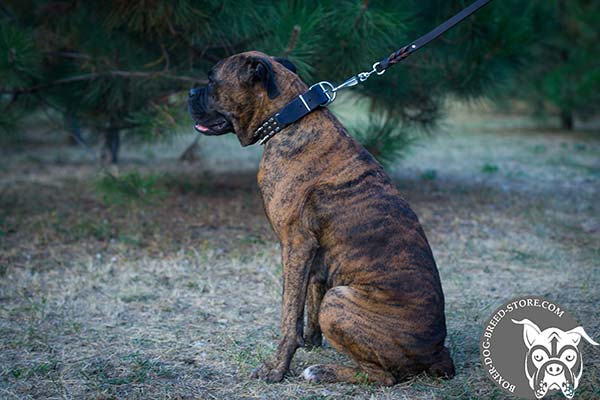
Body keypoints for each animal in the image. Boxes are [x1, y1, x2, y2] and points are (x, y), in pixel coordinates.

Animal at [188, 50, 454, 384]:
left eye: (211, 79)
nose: (190, 92)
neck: (289, 118)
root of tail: (438, 352)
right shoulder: (314, 255)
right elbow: (310, 296)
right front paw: (312, 342)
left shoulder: (296, 245)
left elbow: (289, 315)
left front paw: (278, 368)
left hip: (339, 300)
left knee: (383, 376)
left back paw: (322, 371)